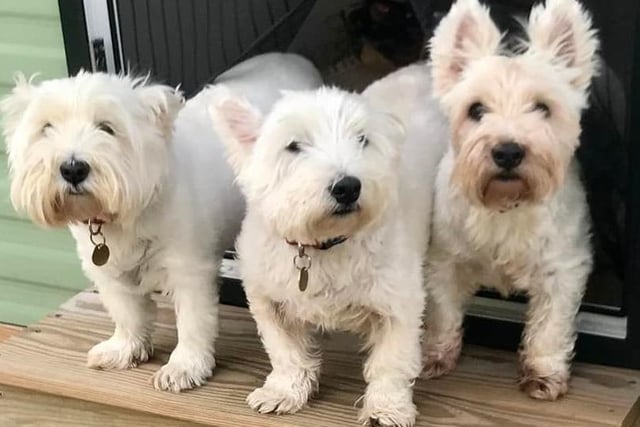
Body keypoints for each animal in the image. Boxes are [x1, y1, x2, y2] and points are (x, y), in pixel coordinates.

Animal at [2, 52, 322, 392]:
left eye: (107, 128)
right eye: (46, 128)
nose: (72, 168)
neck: (129, 211)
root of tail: (291, 56)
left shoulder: (189, 267)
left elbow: (193, 321)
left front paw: (184, 367)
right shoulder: (107, 269)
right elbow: (126, 312)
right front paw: (124, 349)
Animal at [210, 64, 444, 427]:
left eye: (362, 139)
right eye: (293, 146)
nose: (348, 187)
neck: (322, 244)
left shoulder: (398, 303)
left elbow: (391, 361)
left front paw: (386, 409)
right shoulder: (268, 300)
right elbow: (285, 351)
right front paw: (284, 391)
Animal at [422, 0, 596, 402]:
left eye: (543, 107)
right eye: (476, 109)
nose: (507, 151)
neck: (506, 204)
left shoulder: (562, 268)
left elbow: (550, 326)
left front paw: (544, 374)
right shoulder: (444, 260)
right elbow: (443, 311)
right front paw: (436, 355)